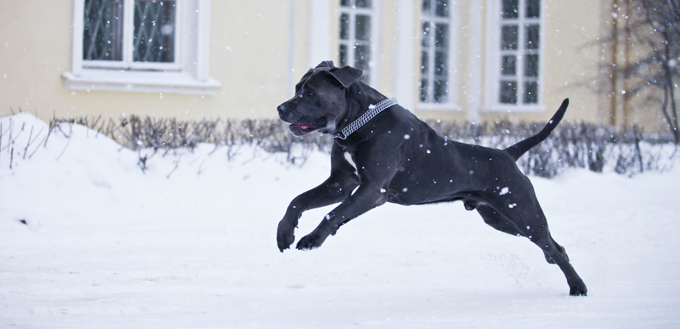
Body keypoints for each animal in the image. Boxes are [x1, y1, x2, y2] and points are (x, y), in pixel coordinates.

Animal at [274, 60, 584, 294]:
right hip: (499, 219)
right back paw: (559, 262)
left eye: (310, 93)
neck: (358, 123)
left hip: (521, 211)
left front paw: (313, 239)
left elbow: (334, 213)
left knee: (548, 242)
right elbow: (297, 201)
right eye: (297, 88)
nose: (280, 108)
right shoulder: (340, 183)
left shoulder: (372, 190)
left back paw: (578, 286)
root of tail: (507, 153)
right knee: (554, 244)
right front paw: (285, 233)